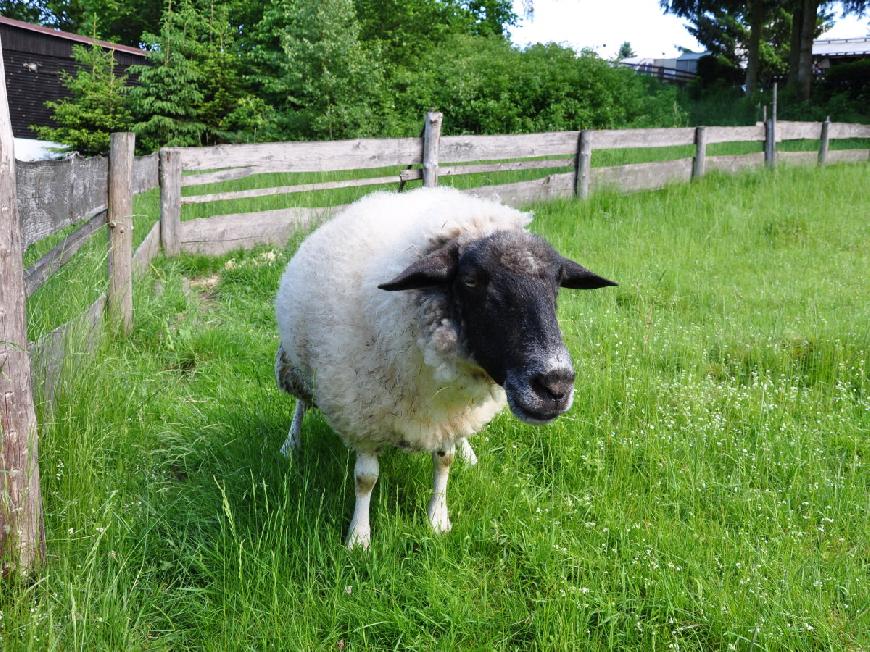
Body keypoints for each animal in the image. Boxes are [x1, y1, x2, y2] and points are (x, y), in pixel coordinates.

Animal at [276, 186, 616, 548]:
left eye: (558, 283)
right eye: (470, 281)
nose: (555, 385)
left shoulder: (448, 416)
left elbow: (444, 461)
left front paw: (437, 519)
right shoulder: (362, 415)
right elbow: (366, 478)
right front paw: (358, 537)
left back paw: (469, 453)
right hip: (297, 364)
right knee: (300, 404)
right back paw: (290, 446)